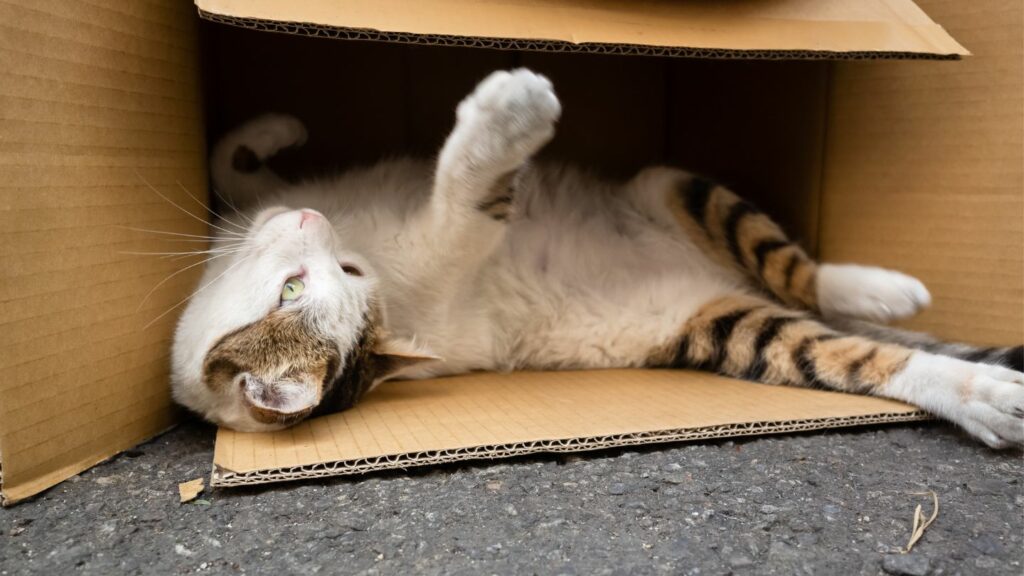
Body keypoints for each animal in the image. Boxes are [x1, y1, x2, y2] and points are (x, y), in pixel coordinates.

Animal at [169, 66, 1024, 444]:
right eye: (292, 289)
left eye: (343, 272)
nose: (311, 218)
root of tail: (715, 281)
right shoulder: (438, 264)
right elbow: (459, 209)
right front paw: (505, 121)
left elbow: (225, 159)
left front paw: (275, 129)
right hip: (731, 329)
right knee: (840, 348)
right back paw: (982, 392)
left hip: (673, 186)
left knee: (799, 274)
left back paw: (887, 291)